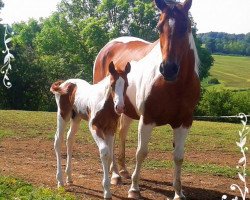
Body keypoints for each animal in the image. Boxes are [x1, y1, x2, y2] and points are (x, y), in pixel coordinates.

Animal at [49, 61, 130, 199]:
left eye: (127, 85)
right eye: (112, 84)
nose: (119, 107)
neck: (105, 104)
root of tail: (65, 83)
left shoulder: (110, 129)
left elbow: (109, 154)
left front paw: (108, 188)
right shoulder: (94, 127)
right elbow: (104, 152)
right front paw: (106, 191)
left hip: (76, 118)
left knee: (70, 139)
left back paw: (69, 177)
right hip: (63, 115)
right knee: (58, 141)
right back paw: (60, 181)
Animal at [93, 0, 200, 198]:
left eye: (186, 26)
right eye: (159, 27)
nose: (168, 69)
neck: (174, 86)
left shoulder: (184, 122)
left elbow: (179, 156)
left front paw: (178, 192)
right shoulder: (147, 119)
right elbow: (141, 152)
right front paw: (134, 189)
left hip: (126, 110)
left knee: (121, 134)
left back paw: (123, 171)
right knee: (112, 139)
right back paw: (115, 174)